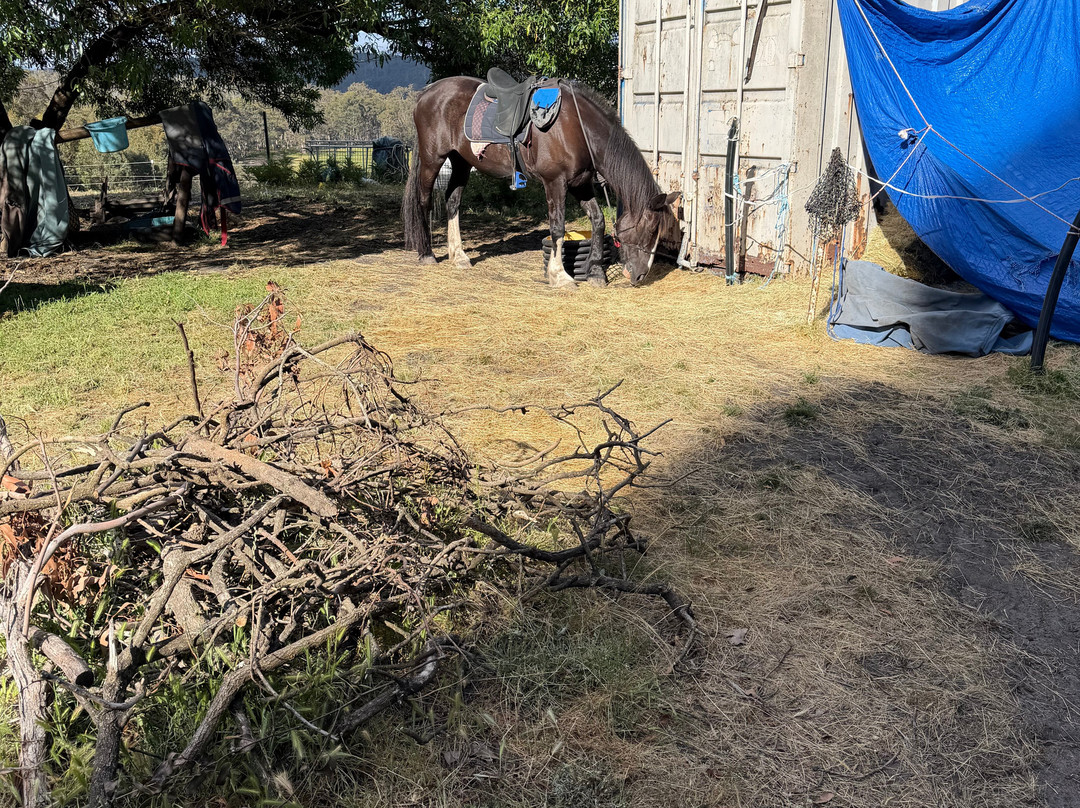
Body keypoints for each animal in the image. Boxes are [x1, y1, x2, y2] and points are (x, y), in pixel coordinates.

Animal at [402, 75, 682, 288]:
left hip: (461, 162)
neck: (577, 128)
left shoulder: (580, 184)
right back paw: (426, 253)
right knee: (424, 200)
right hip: (433, 159)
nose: (640, 275)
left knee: (453, 202)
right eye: (650, 230)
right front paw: (559, 276)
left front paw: (595, 273)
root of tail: (426, 94)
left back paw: (458, 255)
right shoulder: (555, 182)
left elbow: (598, 220)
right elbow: (557, 226)